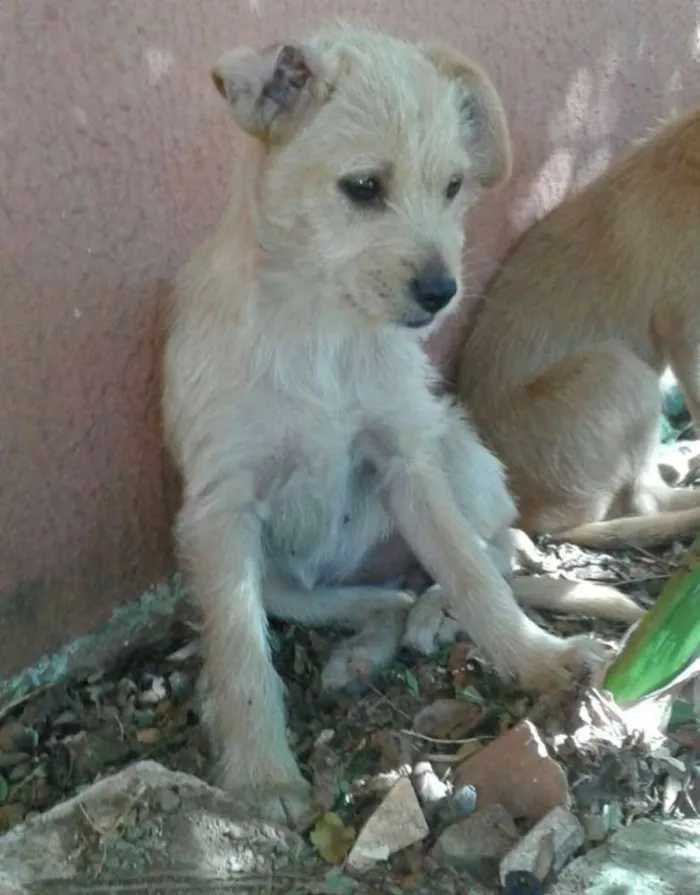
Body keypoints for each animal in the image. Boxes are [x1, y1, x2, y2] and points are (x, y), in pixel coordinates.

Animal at [160, 24, 640, 828]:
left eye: (453, 187)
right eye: (362, 188)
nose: (442, 292)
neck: (321, 327)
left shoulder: (409, 462)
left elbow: (473, 574)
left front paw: (537, 659)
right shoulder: (222, 511)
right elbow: (240, 650)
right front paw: (261, 776)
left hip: (459, 451)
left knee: (494, 551)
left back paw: (434, 619)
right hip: (271, 572)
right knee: (373, 597)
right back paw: (366, 644)